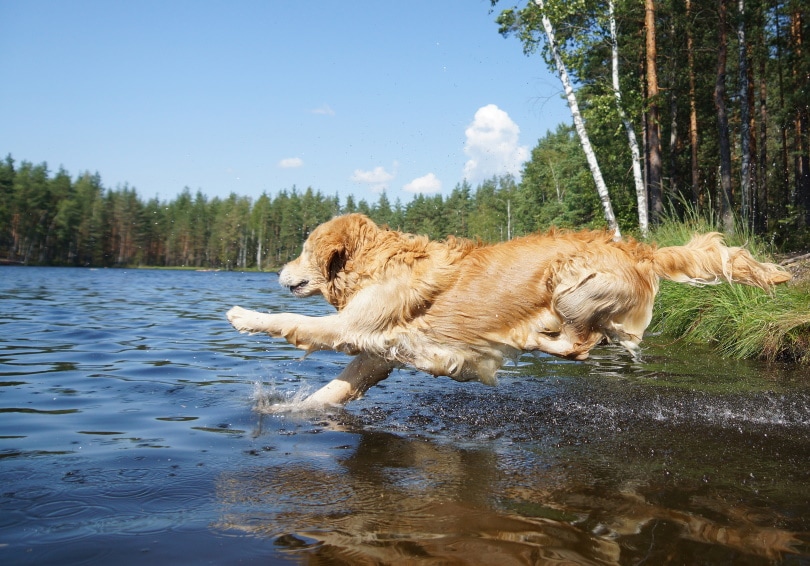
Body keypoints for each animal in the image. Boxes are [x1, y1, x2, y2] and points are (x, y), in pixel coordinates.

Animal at [227, 214, 788, 408]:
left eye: (303, 250)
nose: (279, 272)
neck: (376, 263)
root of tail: (640, 249)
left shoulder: (354, 327)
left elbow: (294, 323)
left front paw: (244, 316)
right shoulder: (380, 352)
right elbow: (335, 389)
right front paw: (292, 412)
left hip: (570, 286)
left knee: (580, 345)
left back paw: (530, 339)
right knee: (596, 341)